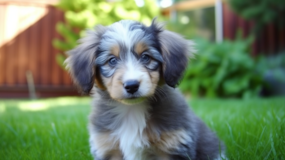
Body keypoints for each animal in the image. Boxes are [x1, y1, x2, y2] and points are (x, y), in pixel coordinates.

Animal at [65, 19, 225, 160]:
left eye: (146, 57)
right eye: (112, 60)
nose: (131, 85)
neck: (132, 111)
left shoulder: (174, 146)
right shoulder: (107, 147)